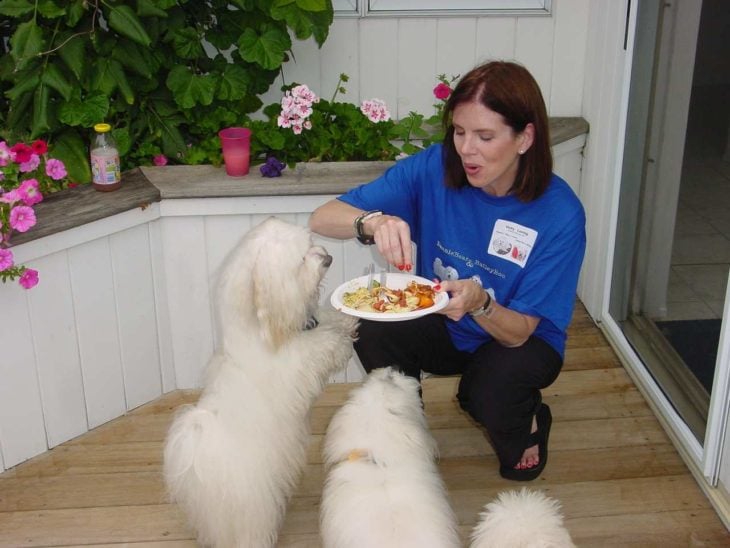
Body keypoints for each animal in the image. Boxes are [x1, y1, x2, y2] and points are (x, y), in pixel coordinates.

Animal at [166, 216, 358, 548]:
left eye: (310, 244)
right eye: (300, 260)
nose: (327, 257)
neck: (261, 328)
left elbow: (326, 319)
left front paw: (346, 320)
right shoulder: (297, 364)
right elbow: (321, 346)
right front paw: (341, 341)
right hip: (251, 505)